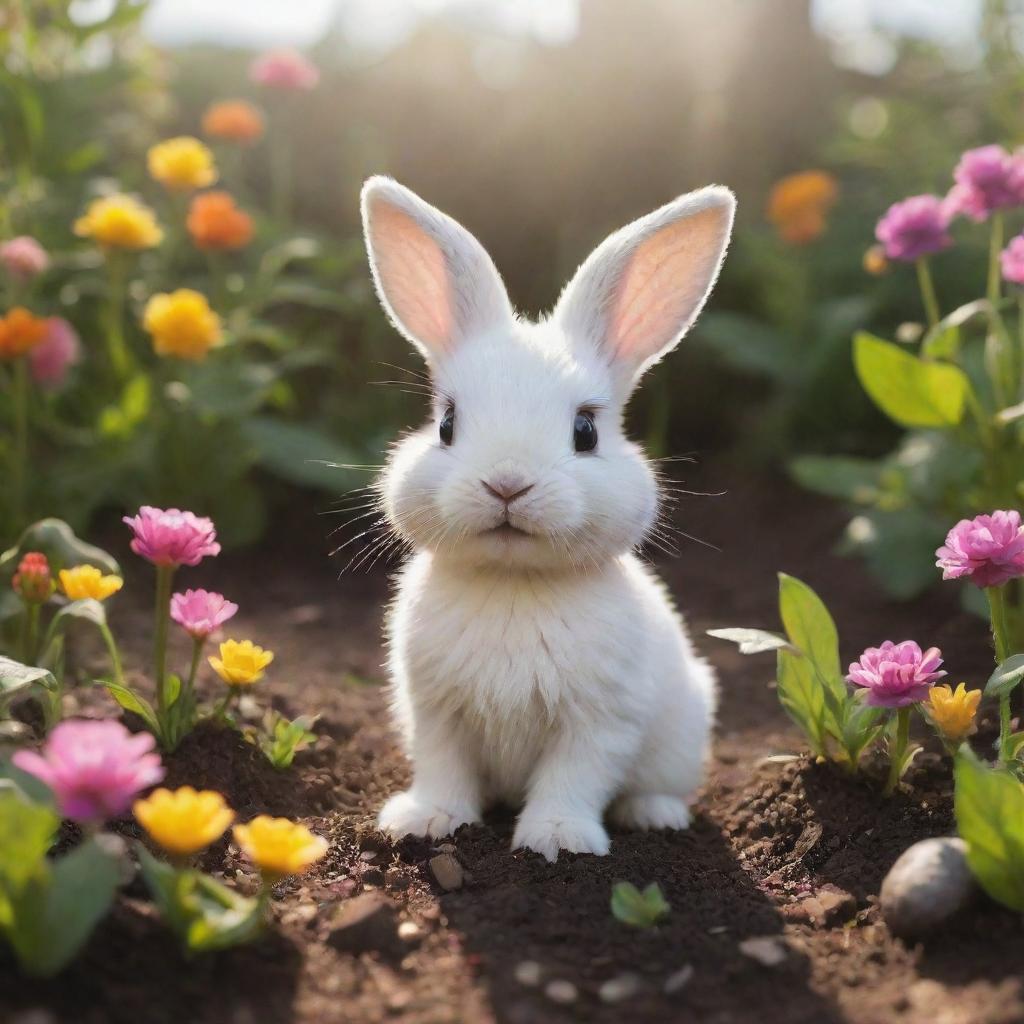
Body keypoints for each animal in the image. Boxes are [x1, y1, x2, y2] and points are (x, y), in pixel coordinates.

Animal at [360, 174, 729, 856]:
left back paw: (655, 815)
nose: (507, 483)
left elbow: (575, 778)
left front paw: (557, 841)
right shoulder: (435, 713)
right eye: (446, 424)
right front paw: (427, 821)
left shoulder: (601, 721)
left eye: (586, 430)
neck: (515, 581)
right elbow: (443, 769)